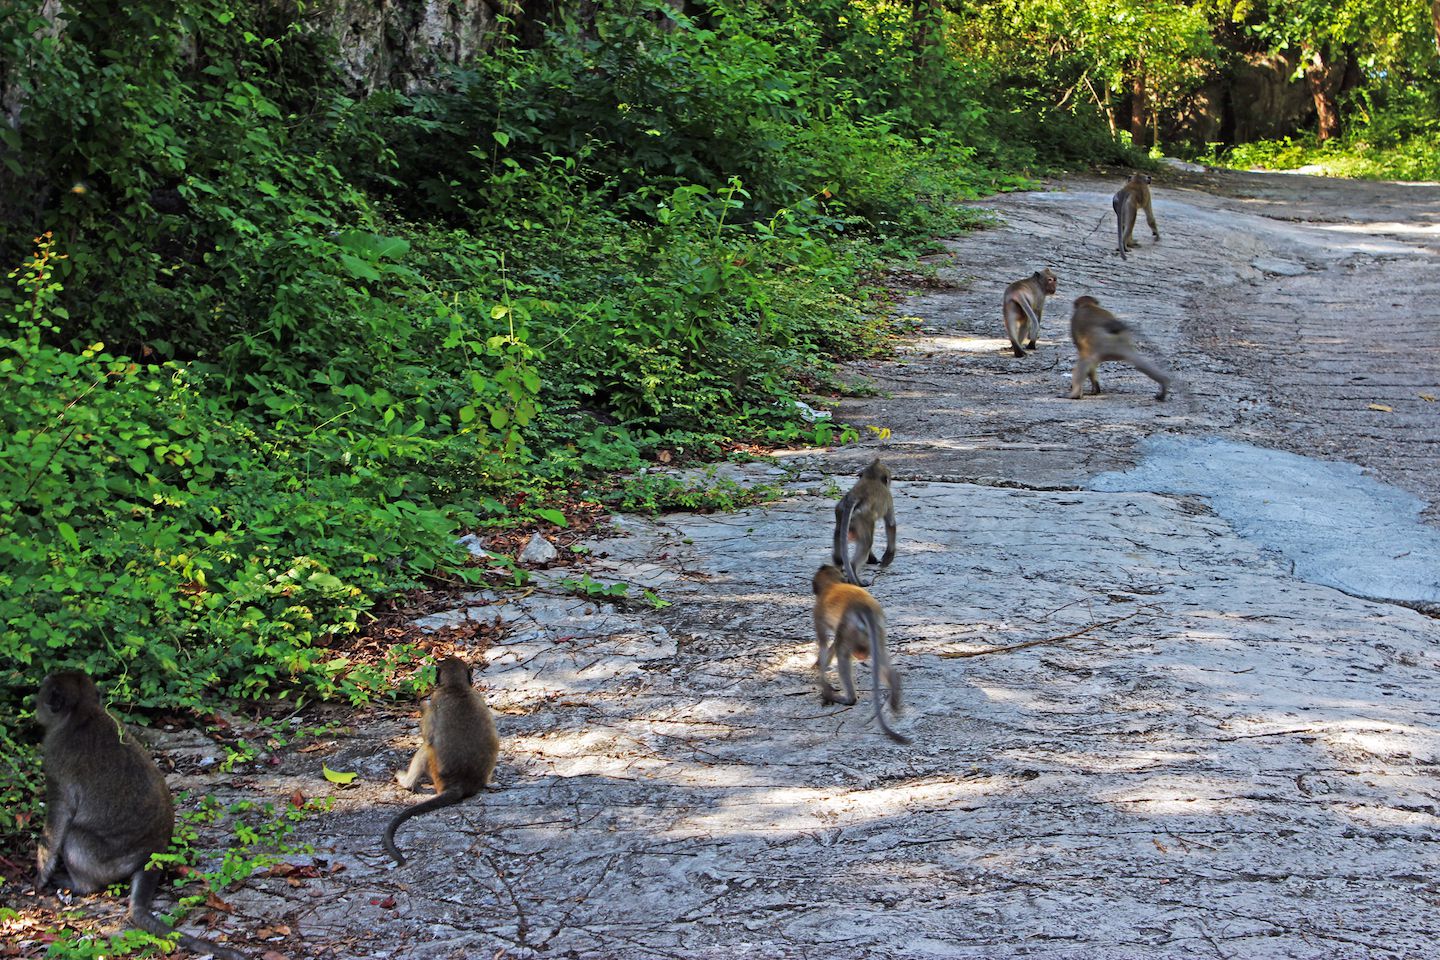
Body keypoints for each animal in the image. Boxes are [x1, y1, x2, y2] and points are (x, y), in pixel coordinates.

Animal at [34, 671, 245, 960]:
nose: (36, 706)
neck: (82, 714)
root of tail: (152, 853)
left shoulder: (55, 759)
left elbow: (58, 816)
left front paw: (40, 876)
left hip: (104, 860)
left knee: (75, 836)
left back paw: (79, 884)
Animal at [383, 657, 499, 866]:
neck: (456, 687)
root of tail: (459, 784)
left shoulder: (437, 698)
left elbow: (428, 735)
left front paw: (422, 706)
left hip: (435, 769)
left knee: (426, 747)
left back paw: (407, 782)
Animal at [811, 565, 909, 745]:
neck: (832, 585)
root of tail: (863, 608)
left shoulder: (818, 612)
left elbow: (823, 644)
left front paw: (821, 677)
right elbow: (832, 645)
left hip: (852, 627)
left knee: (843, 654)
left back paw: (848, 699)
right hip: (877, 629)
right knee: (880, 655)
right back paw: (894, 688)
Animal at [831, 458, 897, 586]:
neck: (871, 478)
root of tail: (852, 498)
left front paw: (873, 559)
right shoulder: (889, 499)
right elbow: (891, 524)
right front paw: (887, 559)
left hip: (840, 513)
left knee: (838, 535)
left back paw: (838, 566)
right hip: (862, 518)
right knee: (866, 542)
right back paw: (855, 573)